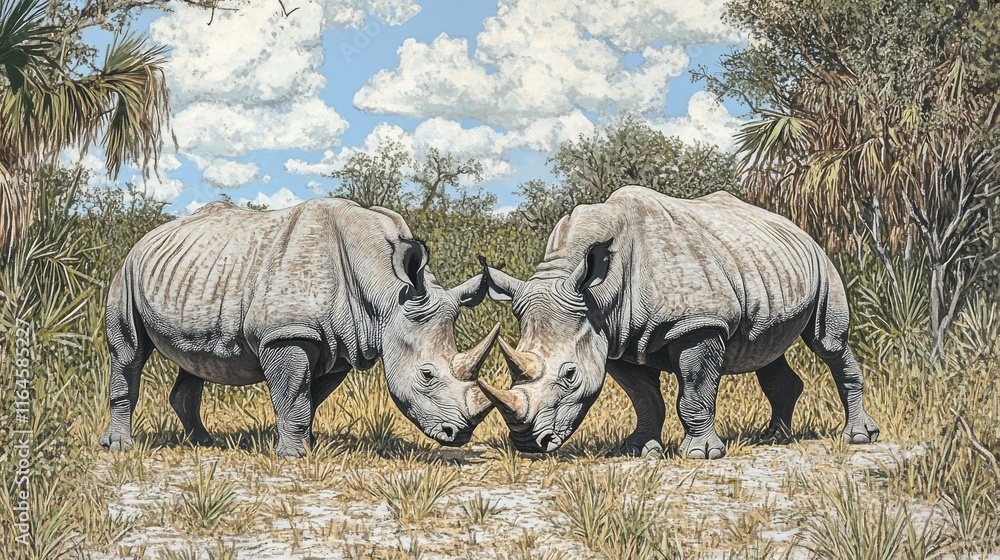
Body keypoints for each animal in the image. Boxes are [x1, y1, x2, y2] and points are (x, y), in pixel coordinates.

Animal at [100, 198, 499, 457]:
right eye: (427, 375)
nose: (459, 434)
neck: (387, 296)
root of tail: (148, 235)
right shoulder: (288, 333)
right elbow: (293, 395)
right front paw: (294, 456)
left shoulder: (340, 344)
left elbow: (309, 397)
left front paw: (307, 444)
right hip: (127, 271)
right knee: (128, 352)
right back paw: (120, 448)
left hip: (193, 274)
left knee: (195, 359)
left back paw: (203, 443)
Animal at [478, 186, 879, 459]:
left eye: (570, 375)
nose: (528, 443)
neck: (598, 294)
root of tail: (796, 225)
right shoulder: (614, 337)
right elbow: (644, 397)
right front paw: (639, 450)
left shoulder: (699, 324)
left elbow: (694, 392)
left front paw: (701, 454)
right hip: (764, 262)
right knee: (766, 349)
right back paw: (774, 438)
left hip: (822, 260)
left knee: (828, 343)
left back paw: (858, 438)